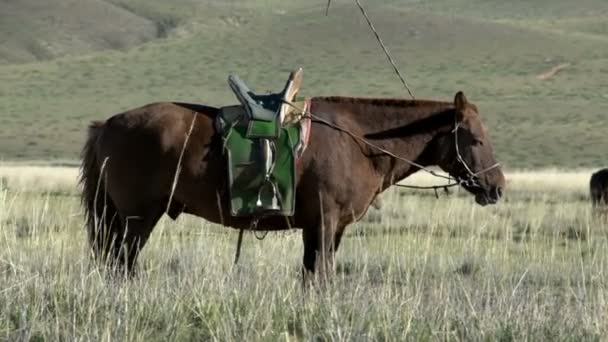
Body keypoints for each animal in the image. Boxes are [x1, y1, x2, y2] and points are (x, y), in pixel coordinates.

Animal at [82, 91, 508, 278]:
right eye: (476, 139)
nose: (498, 186)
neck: (358, 140)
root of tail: (109, 123)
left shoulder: (322, 228)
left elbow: (313, 273)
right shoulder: (325, 222)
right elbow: (322, 274)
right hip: (138, 219)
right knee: (122, 263)